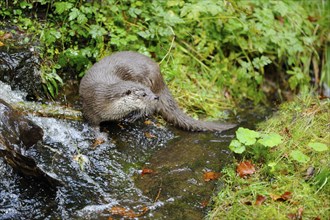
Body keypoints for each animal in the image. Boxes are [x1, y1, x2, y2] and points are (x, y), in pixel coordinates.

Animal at [79, 50, 235, 131]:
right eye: (143, 94)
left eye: (148, 92)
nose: (155, 97)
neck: (103, 99)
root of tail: (160, 78)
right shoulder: (89, 107)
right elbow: (93, 123)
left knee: (151, 109)